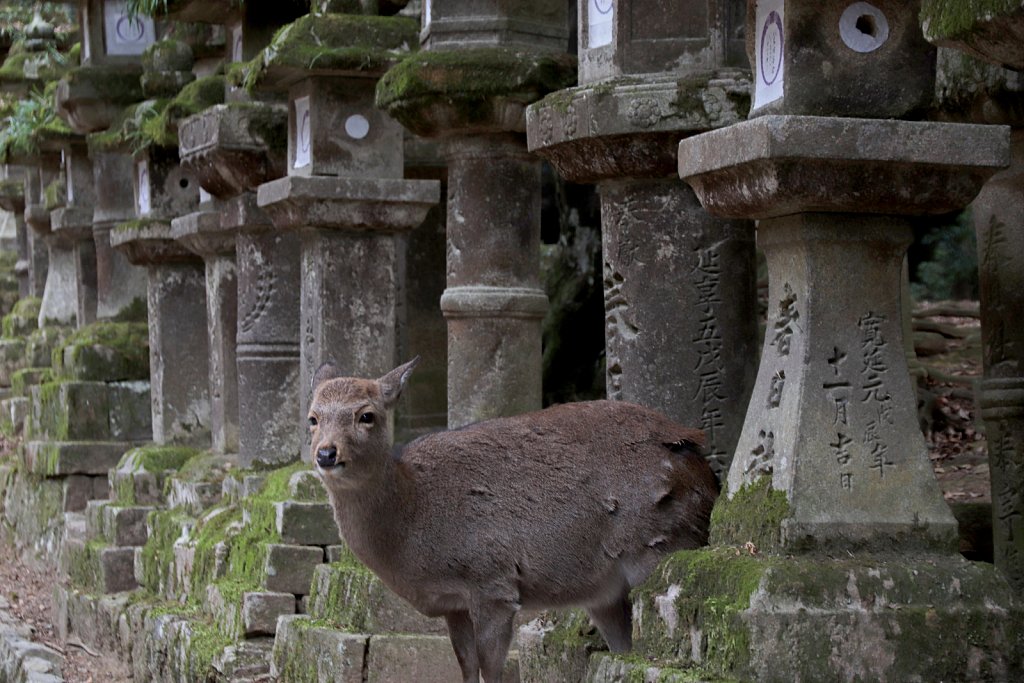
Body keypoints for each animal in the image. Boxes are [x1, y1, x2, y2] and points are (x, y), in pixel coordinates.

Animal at [307, 358, 716, 683]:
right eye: (312, 417)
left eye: (366, 415)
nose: (326, 453)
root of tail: (701, 464)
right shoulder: (454, 604)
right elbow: (466, 670)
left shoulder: (493, 583)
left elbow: (492, 671)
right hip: (605, 594)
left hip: (662, 546)